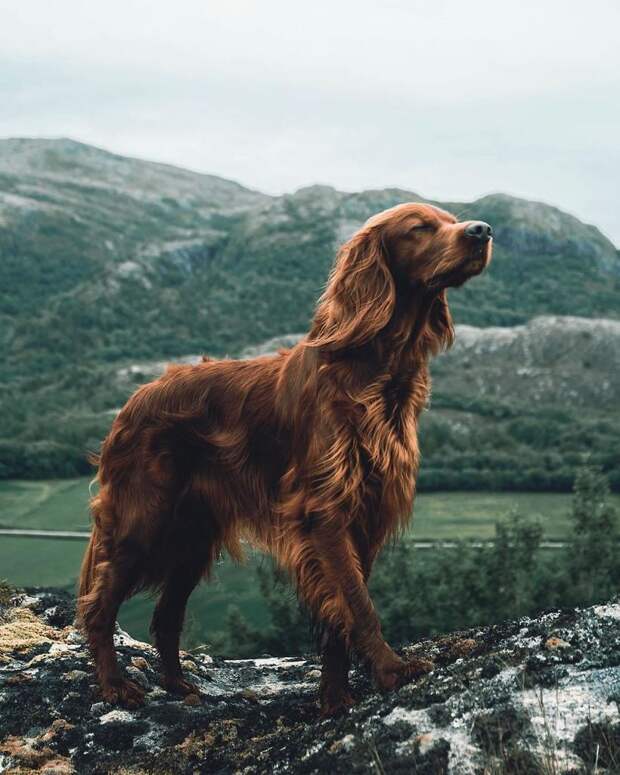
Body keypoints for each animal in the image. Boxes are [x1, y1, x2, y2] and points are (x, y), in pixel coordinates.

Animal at [78, 203, 494, 720]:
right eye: (419, 227)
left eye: (452, 218)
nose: (484, 230)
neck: (375, 370)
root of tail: (134, 399)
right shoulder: (324, 510)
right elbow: (357, 603)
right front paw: (390, 670)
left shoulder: (363, 514)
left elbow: (340, 611)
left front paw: (334, 697)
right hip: (143, 522)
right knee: (99, 605)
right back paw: (115, 686)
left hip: (193, 537)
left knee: (166, 616)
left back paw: (179, 687)